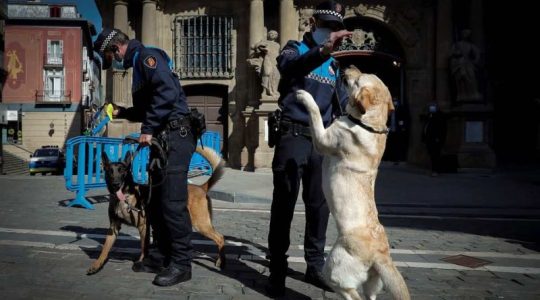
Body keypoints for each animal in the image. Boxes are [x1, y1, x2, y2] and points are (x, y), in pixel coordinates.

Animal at [87, 146, 227, 276]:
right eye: (110, 171)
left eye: (123, 171)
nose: (116, 184)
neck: (125, 198)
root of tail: (201, 187)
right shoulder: (113, 228)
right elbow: (105, 249)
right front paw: (96, 265)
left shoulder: (143, 226)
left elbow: (144, 247)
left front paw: (141, 262)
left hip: (201, 225)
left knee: (220, 238)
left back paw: (221, 261)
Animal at [296, 64, 410, 298]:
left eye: (359, 78)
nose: (347, 65)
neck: (368, 123)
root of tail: (381, 255)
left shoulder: (322, 139)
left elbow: (316, 113)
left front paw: (305, 96)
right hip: (373, 283)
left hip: (334, 268)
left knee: (349, 292)